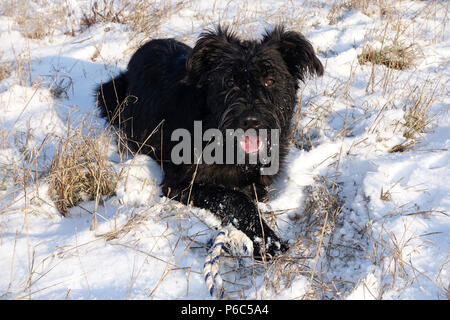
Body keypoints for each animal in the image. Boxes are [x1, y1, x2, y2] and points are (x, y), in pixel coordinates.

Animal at [96, 25, 324, 260]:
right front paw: (268, 242)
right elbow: (234, 197)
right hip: (108, 93)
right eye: (230, 82)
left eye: (269, 81)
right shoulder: (178, 184)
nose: (251, 121)